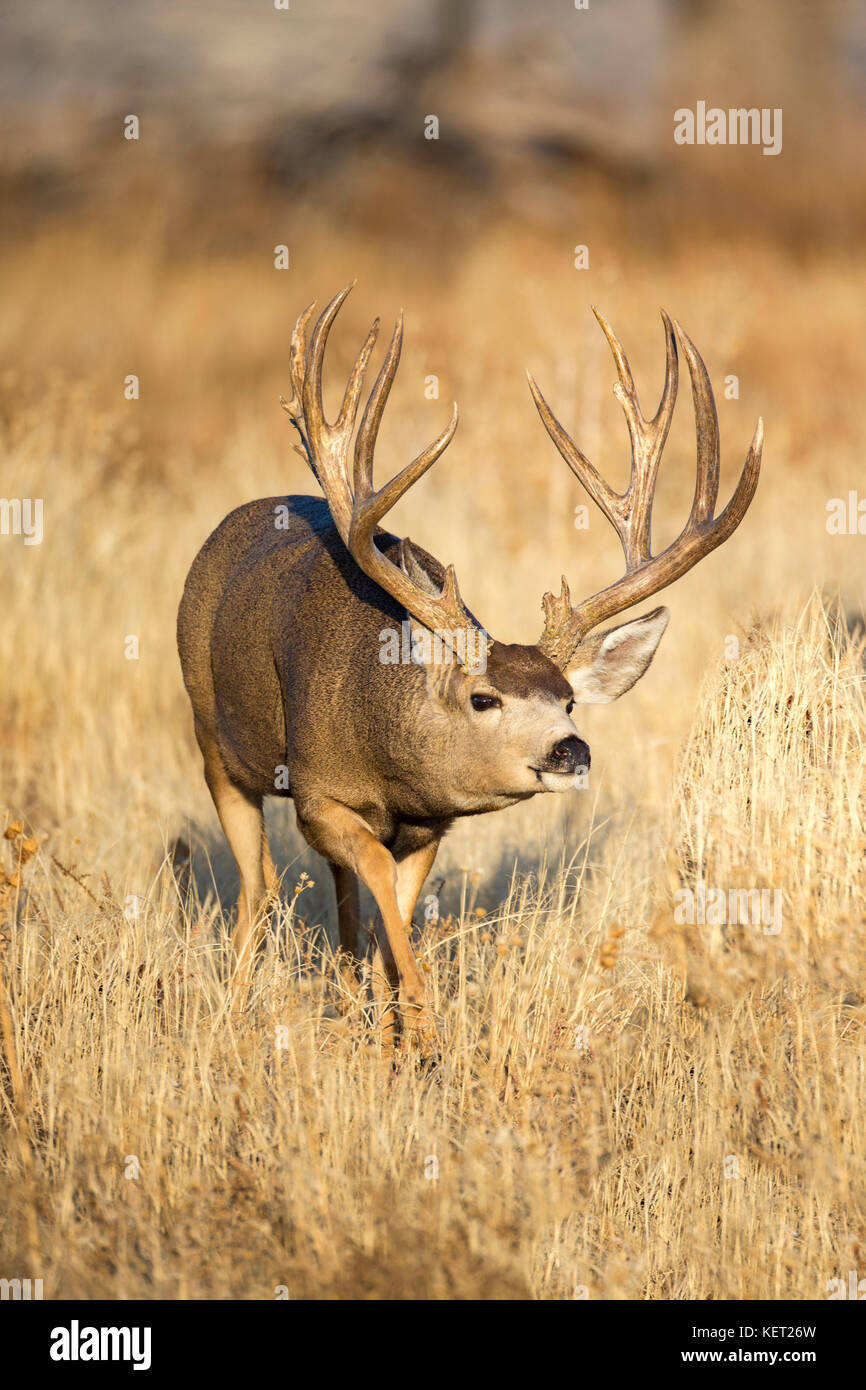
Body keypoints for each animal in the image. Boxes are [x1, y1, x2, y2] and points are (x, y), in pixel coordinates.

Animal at [177, 283, 762, 1048]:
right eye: (484, 699)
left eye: (568, 699)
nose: (571, 749)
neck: (387, 753)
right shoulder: (318, 790)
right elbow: (373, 880)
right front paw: (423, 1033)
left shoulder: (429, 827)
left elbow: (391, 911)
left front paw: (396, 1034)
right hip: (213, 739)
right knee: (261, 883)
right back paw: (237, 1008)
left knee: (336, 892)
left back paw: (348, 999)